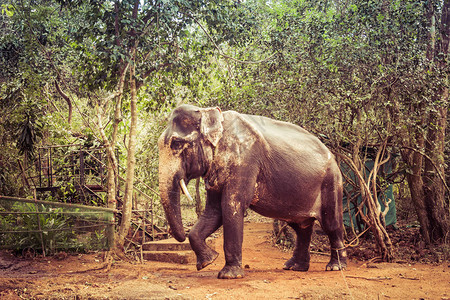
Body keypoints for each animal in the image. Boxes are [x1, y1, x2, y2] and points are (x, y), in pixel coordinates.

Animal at [158, 105, 348, 278]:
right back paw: (294, 267)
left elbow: (231, 205)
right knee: (301, 226)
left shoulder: (245, 159)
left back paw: (335, 267)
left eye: (176, 143)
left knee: (331, 224)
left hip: (331, 181)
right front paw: (208, 262)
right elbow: (214, 211)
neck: (209, 113)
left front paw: (229, 275)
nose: (178, 236)